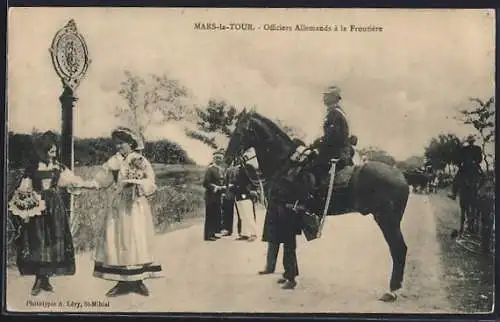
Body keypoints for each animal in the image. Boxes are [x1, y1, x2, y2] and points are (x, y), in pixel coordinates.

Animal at [224, 110, 410, 302]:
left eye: (239, 133)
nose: (226, 158)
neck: (284, 165)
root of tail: (401, 176)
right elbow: (289, 245)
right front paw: (288, 276)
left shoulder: (285, 212)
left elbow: (288, 245)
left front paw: (290, 279)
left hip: (387, 220)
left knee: (398, 249)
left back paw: (392, 290)